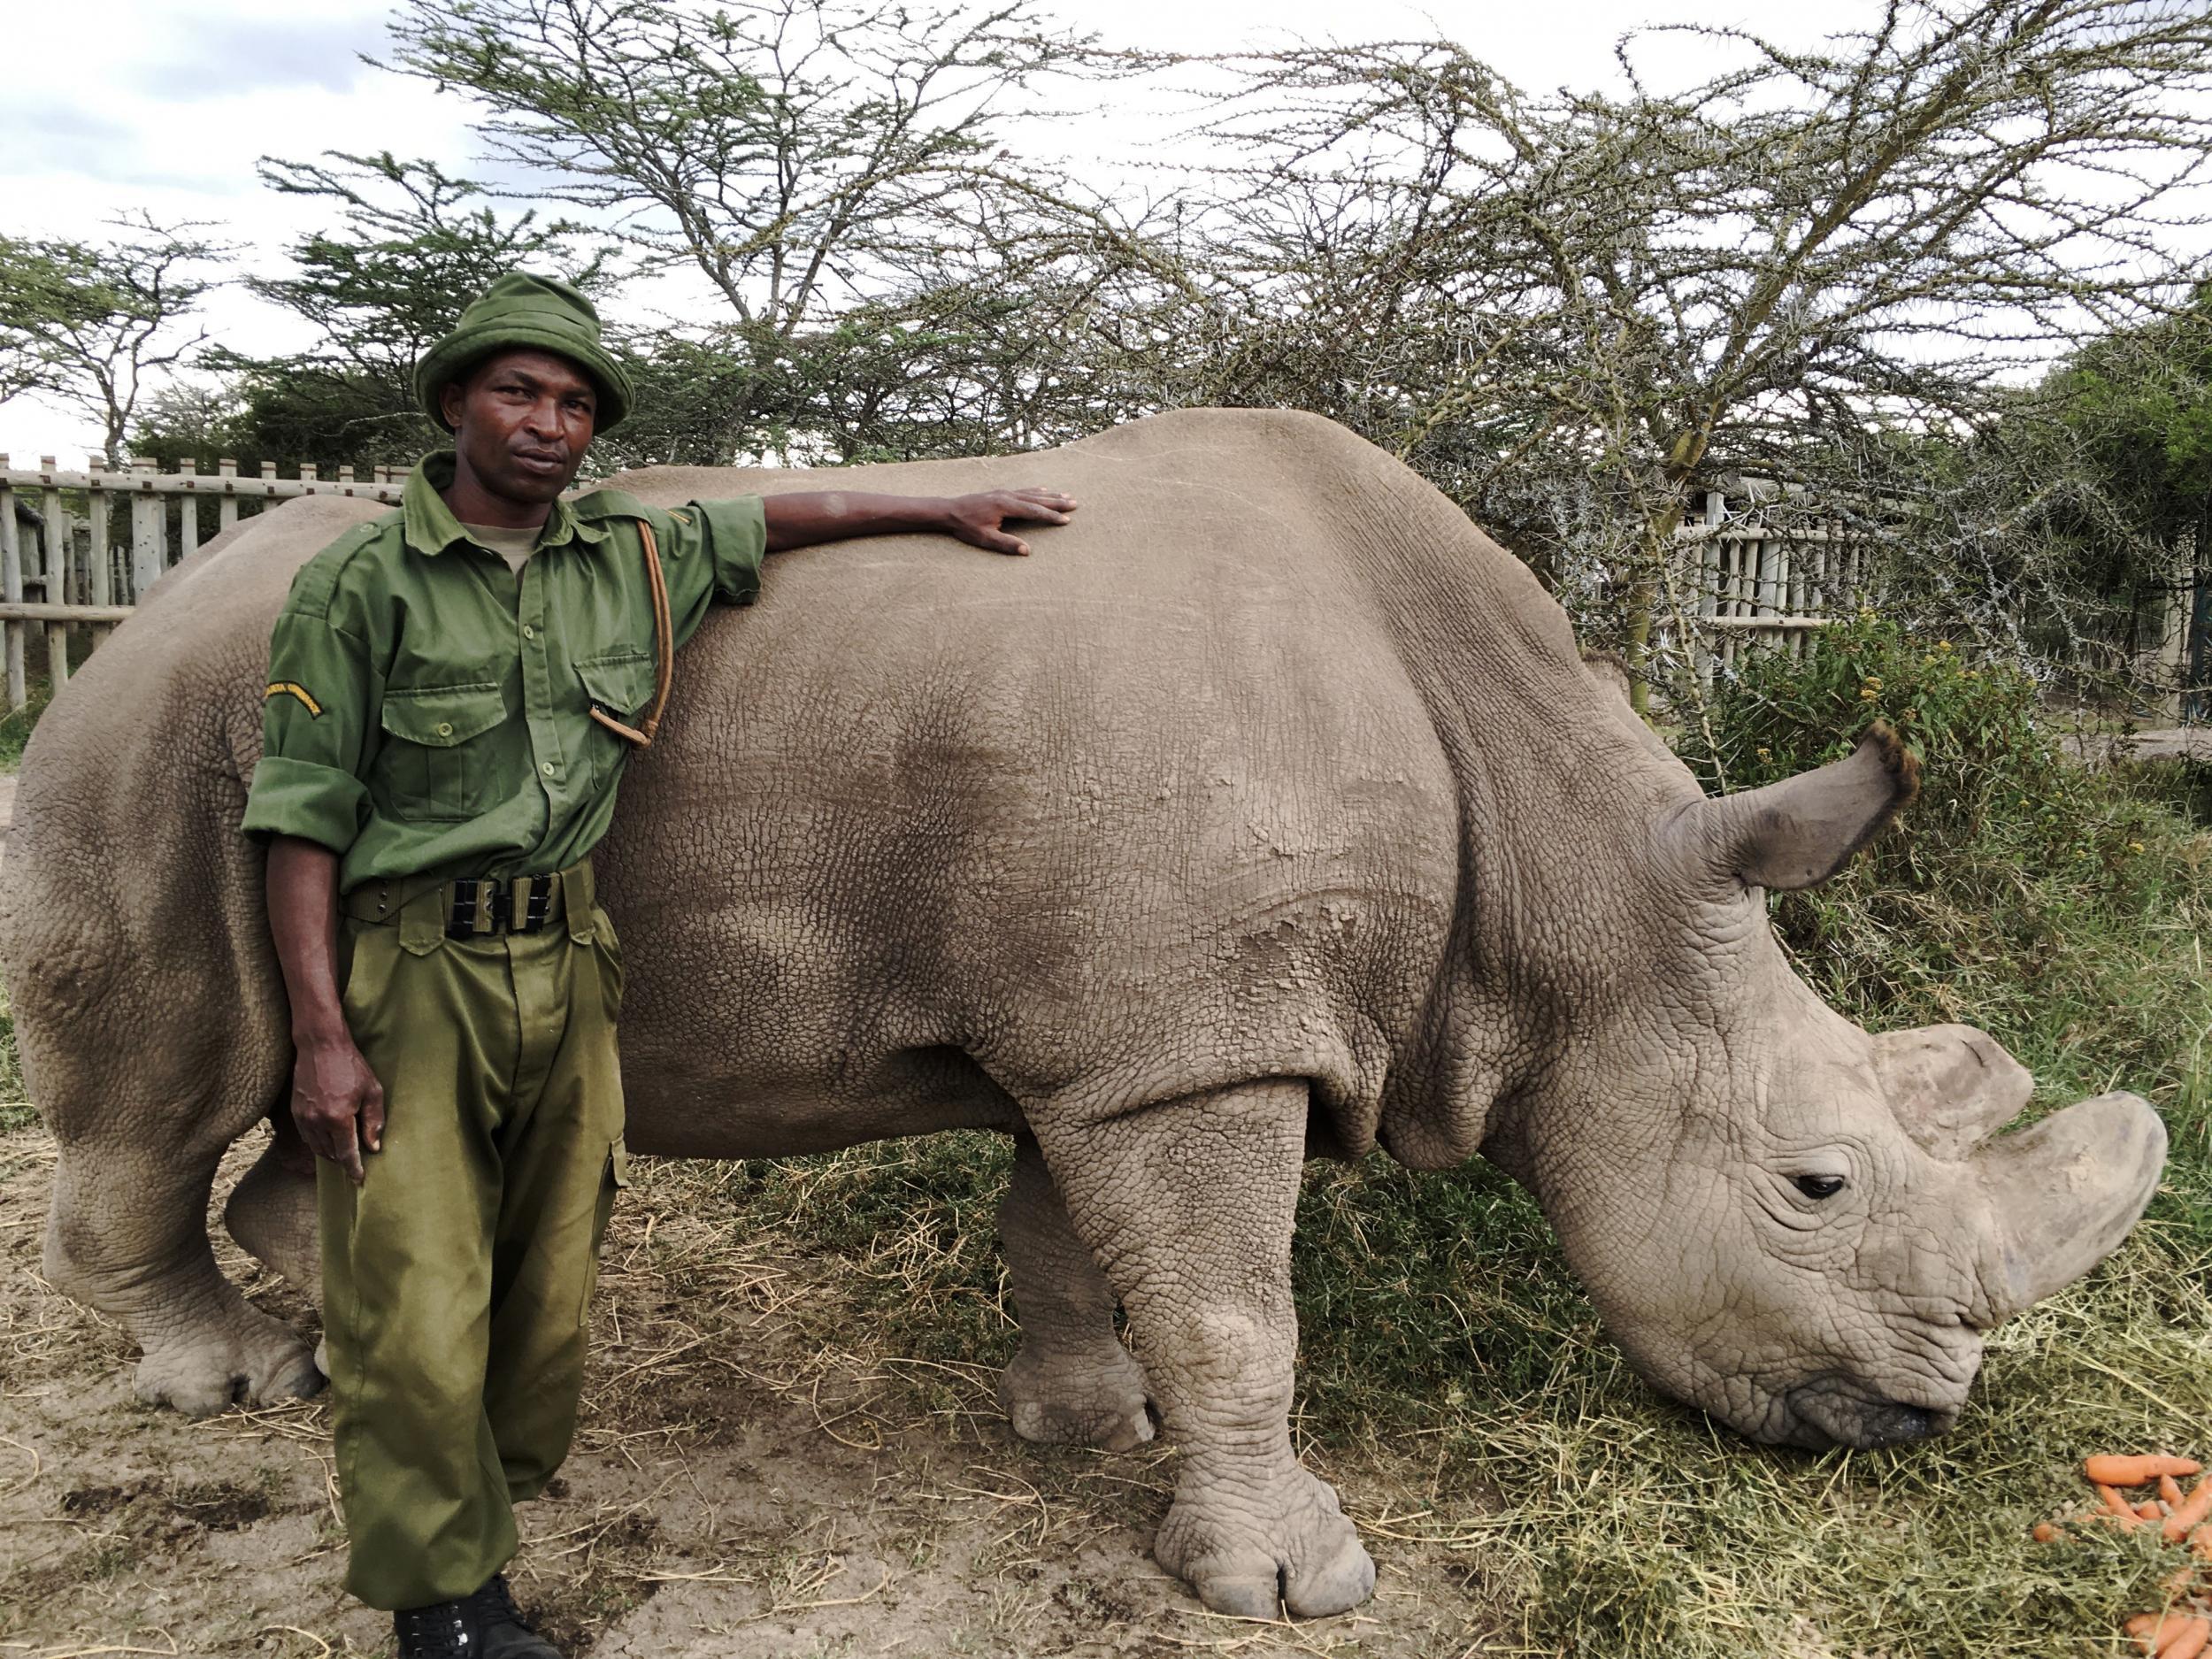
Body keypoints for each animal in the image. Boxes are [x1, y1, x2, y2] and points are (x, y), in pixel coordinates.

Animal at [0, 409, 2168, 1619]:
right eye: (1815, 1182)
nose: (1918, 1419)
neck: (1576, 883)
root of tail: (131, 611)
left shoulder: (1141, 1032)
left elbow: (1089, 1254)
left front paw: (1083, 1423)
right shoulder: (1186, 1045)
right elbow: (1241, 1309)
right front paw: (1291, 1581)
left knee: (320, 1104)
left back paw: (324, 1349)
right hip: (163, 739)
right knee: (173, 1072)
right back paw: (228, 1387)